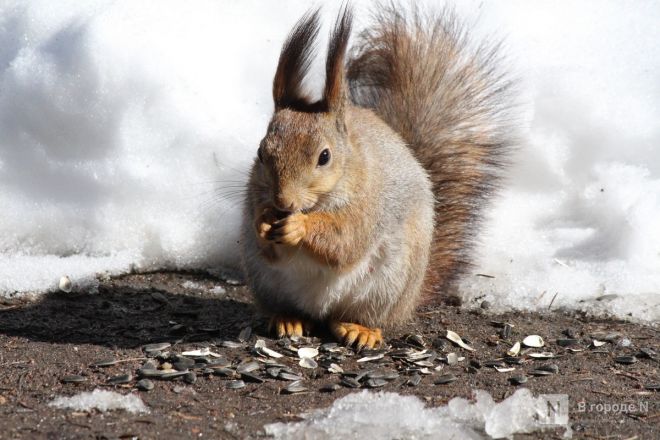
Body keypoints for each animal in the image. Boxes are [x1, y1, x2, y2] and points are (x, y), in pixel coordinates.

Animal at [240, 1, 512, 348]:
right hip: (266, 282)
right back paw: (289, 319)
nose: (283, 202)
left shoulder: (369, 206)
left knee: (359, 316)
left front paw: (300, 227)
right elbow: (267, 242)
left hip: (387, 285)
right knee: (292, 307)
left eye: (324, 157)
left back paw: (360, 329)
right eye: (261, 152)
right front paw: (263, 221)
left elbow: (345, 241)